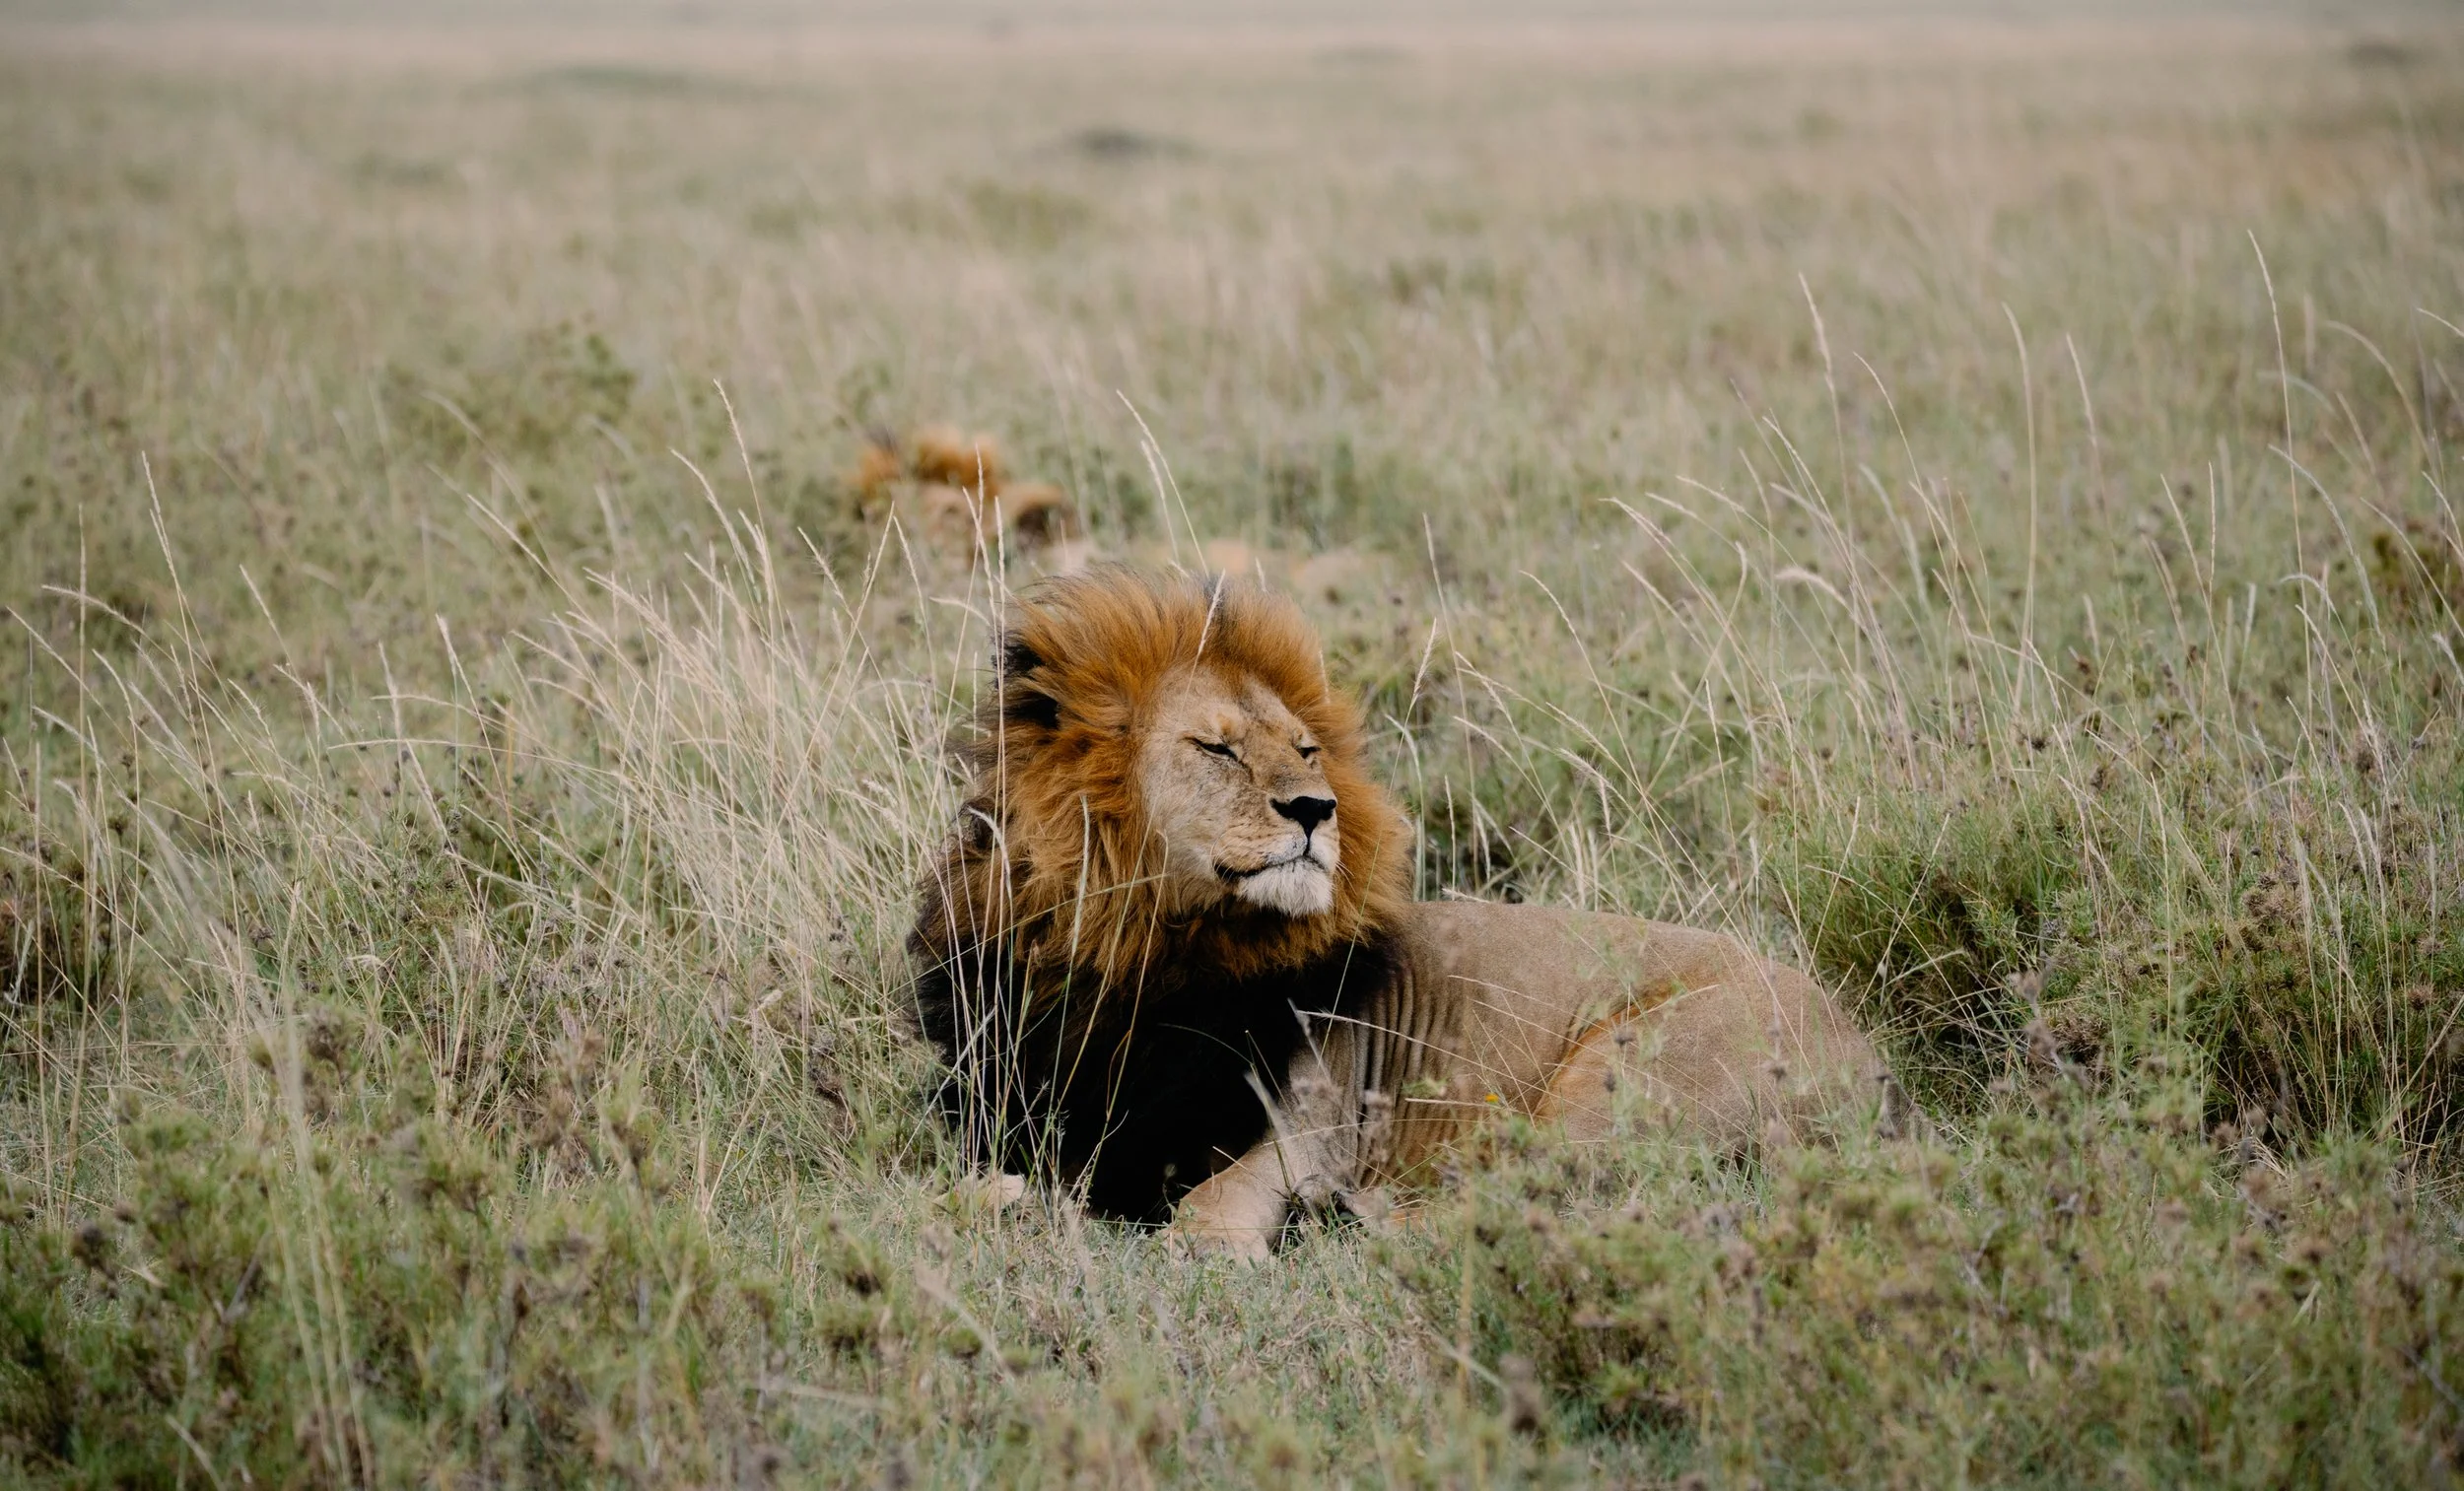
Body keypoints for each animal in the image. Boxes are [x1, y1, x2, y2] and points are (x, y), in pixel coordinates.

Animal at [910, 567, 1883, 1258]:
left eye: (1305, 749)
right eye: (1218, 748)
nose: (1316, 809)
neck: (1144, 949)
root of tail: (1875, 1059)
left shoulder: (1315, 1118)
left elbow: (1203, 1219)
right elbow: (961, 1188)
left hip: (1625, 1069)